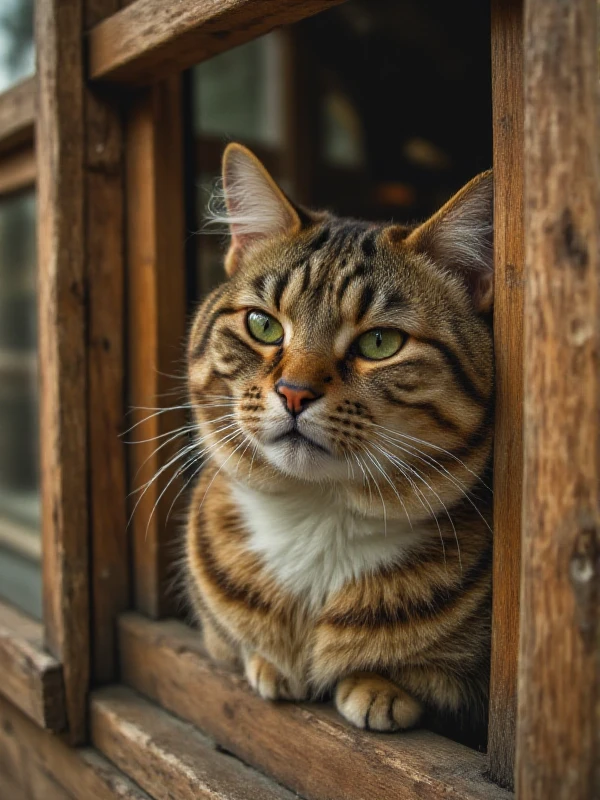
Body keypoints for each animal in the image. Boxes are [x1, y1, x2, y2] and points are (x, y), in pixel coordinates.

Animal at [185, 142, 494, 736]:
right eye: (263, 325)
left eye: (380, 342)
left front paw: (377, 685)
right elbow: (236, 641)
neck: (317, 516)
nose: (294, 393)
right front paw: (268, 660)